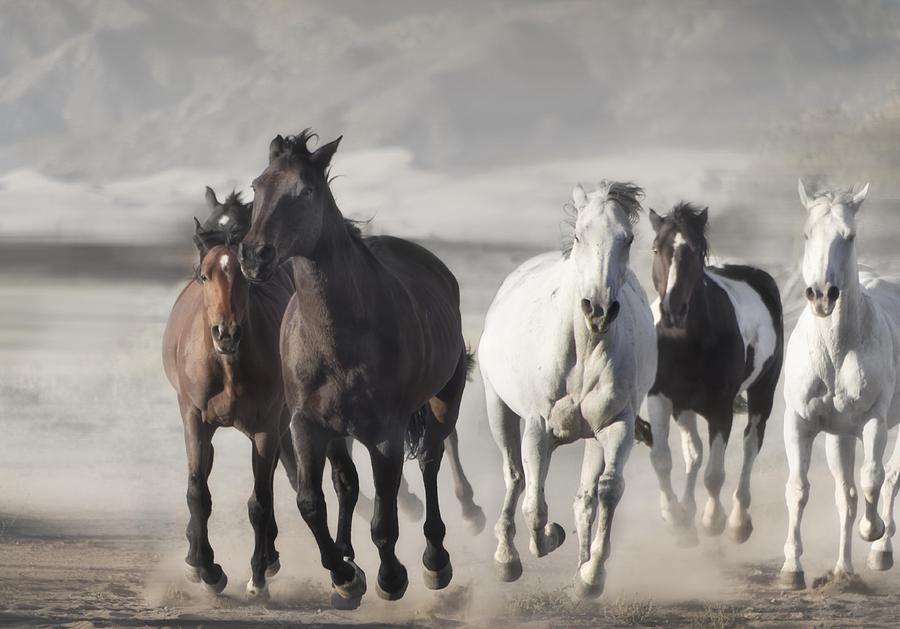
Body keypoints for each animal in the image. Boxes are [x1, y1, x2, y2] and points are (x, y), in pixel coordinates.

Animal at [163, 190, 302, 600]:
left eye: (243, 274)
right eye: (203, 274)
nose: (226, 333)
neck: (227, 365)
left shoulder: (267, 428)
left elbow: (260, 500)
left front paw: (257, 576)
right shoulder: (194, 419)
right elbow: (198, 493)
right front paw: (208, 570)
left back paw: (269, 559)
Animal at [237, 132, 478, 608]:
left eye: (305, 191)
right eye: (257, 186)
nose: (254, 256)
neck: (339, 334)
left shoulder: (385, 434)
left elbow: (385, 517)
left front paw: (391, 578)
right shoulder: (307, 426)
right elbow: (311, 502)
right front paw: (345, 576)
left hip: (443, 403)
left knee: (430, 461)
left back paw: (435, 561)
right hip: (337, 431)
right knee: (346, 482)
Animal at [482, 179, 656, 596]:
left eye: (627, 239)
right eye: (579, 235)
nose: (599, 310)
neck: (585, 348)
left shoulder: (616, 425)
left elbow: (607, 491)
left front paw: (591, 575)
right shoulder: (537, 427)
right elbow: (533, 502)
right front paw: (547, 537)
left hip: (592, 437)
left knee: (585, 498)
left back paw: (580, 568)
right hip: (498, 408)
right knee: (514, 475)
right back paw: (506, 558)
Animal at [644, 202, 784, 544]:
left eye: (694, 252)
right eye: (656, 248)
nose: (673, 310)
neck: (685, 342)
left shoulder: (721, 410)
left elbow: (714, 474)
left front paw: (713, 520)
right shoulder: (660, 398)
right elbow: (662, 459)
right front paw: (676, 518)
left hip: (762, 392)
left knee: (750, 445)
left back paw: (738, 521)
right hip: (684, 408)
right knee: (693, 452)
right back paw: (688, 512)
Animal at [780, 180, 900, 588]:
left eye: (849, 236)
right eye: (806, 234)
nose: (821, 295)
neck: (835, 351)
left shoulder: (874, 421)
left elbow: (873, 478)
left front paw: (873, 532)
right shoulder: (800, 423)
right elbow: (799, 489)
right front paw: (792, 569)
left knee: (889, 477)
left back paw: (881, 551)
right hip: (839, 437)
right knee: (844, 497)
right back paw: (843, 569)